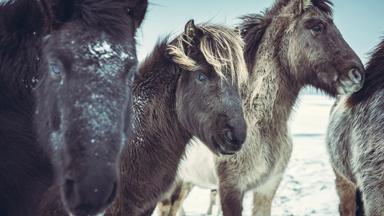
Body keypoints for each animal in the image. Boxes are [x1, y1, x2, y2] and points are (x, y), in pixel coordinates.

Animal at [159, 0, 366, 216]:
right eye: (317, 26)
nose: (358, 74)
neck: (257, 123)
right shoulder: (230, 190)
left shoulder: (267, 188)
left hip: (186, 183)